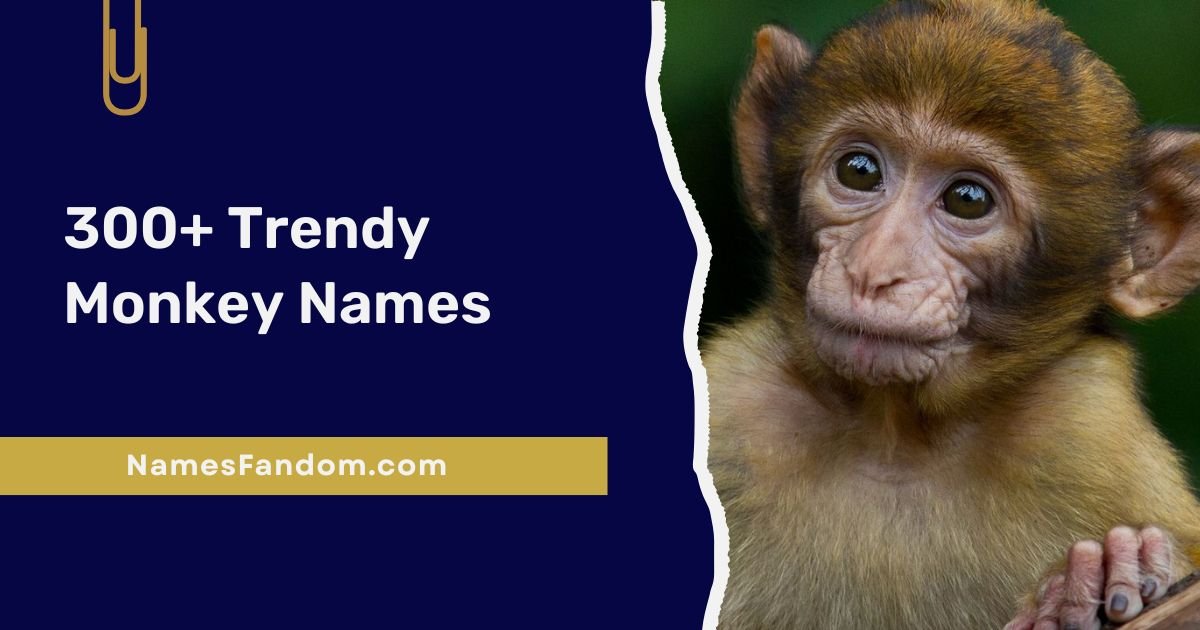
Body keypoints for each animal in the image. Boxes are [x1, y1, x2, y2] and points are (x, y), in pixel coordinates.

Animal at [702, 1, 1200, 628]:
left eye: (968, 200)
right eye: (859, 170)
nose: (873, 269)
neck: (894, 436)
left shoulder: (1085, 422)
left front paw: (1109, 572)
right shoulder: (734, 407)